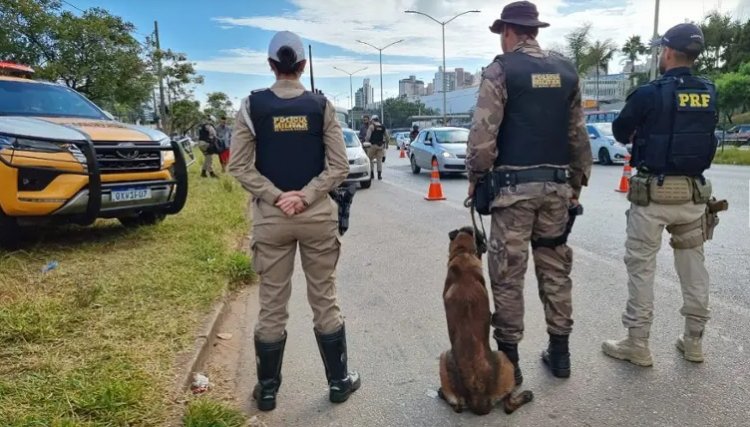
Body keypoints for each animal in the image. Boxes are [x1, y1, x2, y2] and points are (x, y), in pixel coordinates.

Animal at [440, 229, 536, 416]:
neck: (463, 253)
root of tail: (478, 398)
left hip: (444, 358)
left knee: (457, 406)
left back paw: (442, 393)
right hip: (503, 358)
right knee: (508, 406)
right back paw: (526, 396)